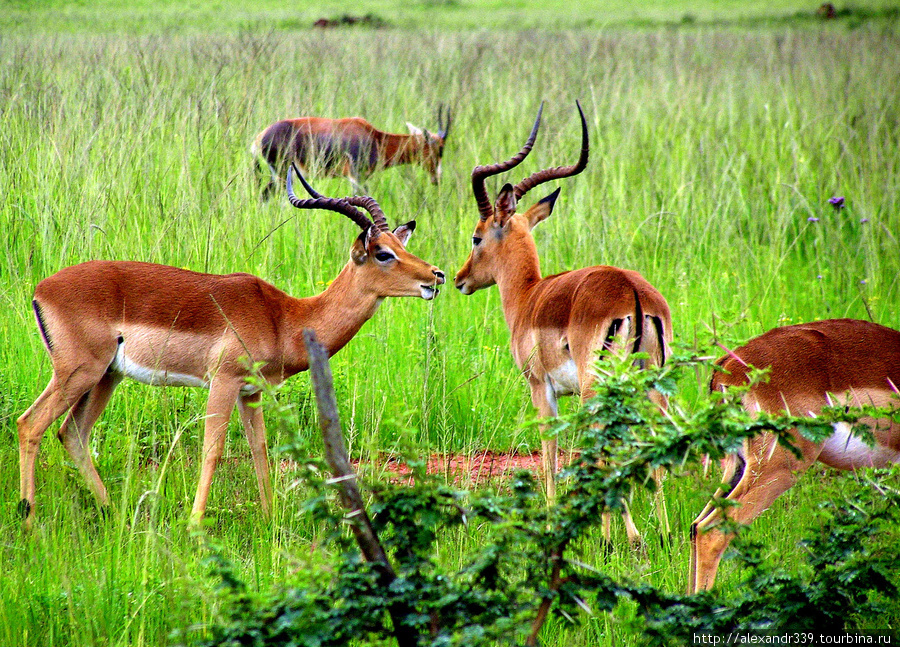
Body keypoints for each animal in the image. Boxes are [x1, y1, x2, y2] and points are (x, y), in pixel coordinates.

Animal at [15, 165, 444, 528]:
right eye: (383, 254)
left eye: (401, 247)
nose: (436, 275)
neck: (284, 317)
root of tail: (41, 289)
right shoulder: (222, 381)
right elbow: (214, 449)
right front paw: (195, 525)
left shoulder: (250, 392)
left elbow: (260, 449)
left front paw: (270, 519)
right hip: (79, 371)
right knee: (30, 425)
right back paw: (30, 520)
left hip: (108, 376)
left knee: (72, 434)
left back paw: (112, 513)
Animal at [251, 105, 450, 197]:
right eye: (439, 150)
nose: (437, 179)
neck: (374, 137)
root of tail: (260, 137)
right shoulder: (356, 178)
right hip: (282, 175)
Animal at [454, 102, 672, 548]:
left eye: (476, 237)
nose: (459, 278)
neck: (529, 295)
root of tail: (634, 294)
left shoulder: (541, 386)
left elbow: (550, 455)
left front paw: (554, 520)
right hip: (650, 386)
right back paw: (662, 534)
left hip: (597, 388)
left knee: (605, 451)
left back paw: (612, 540)